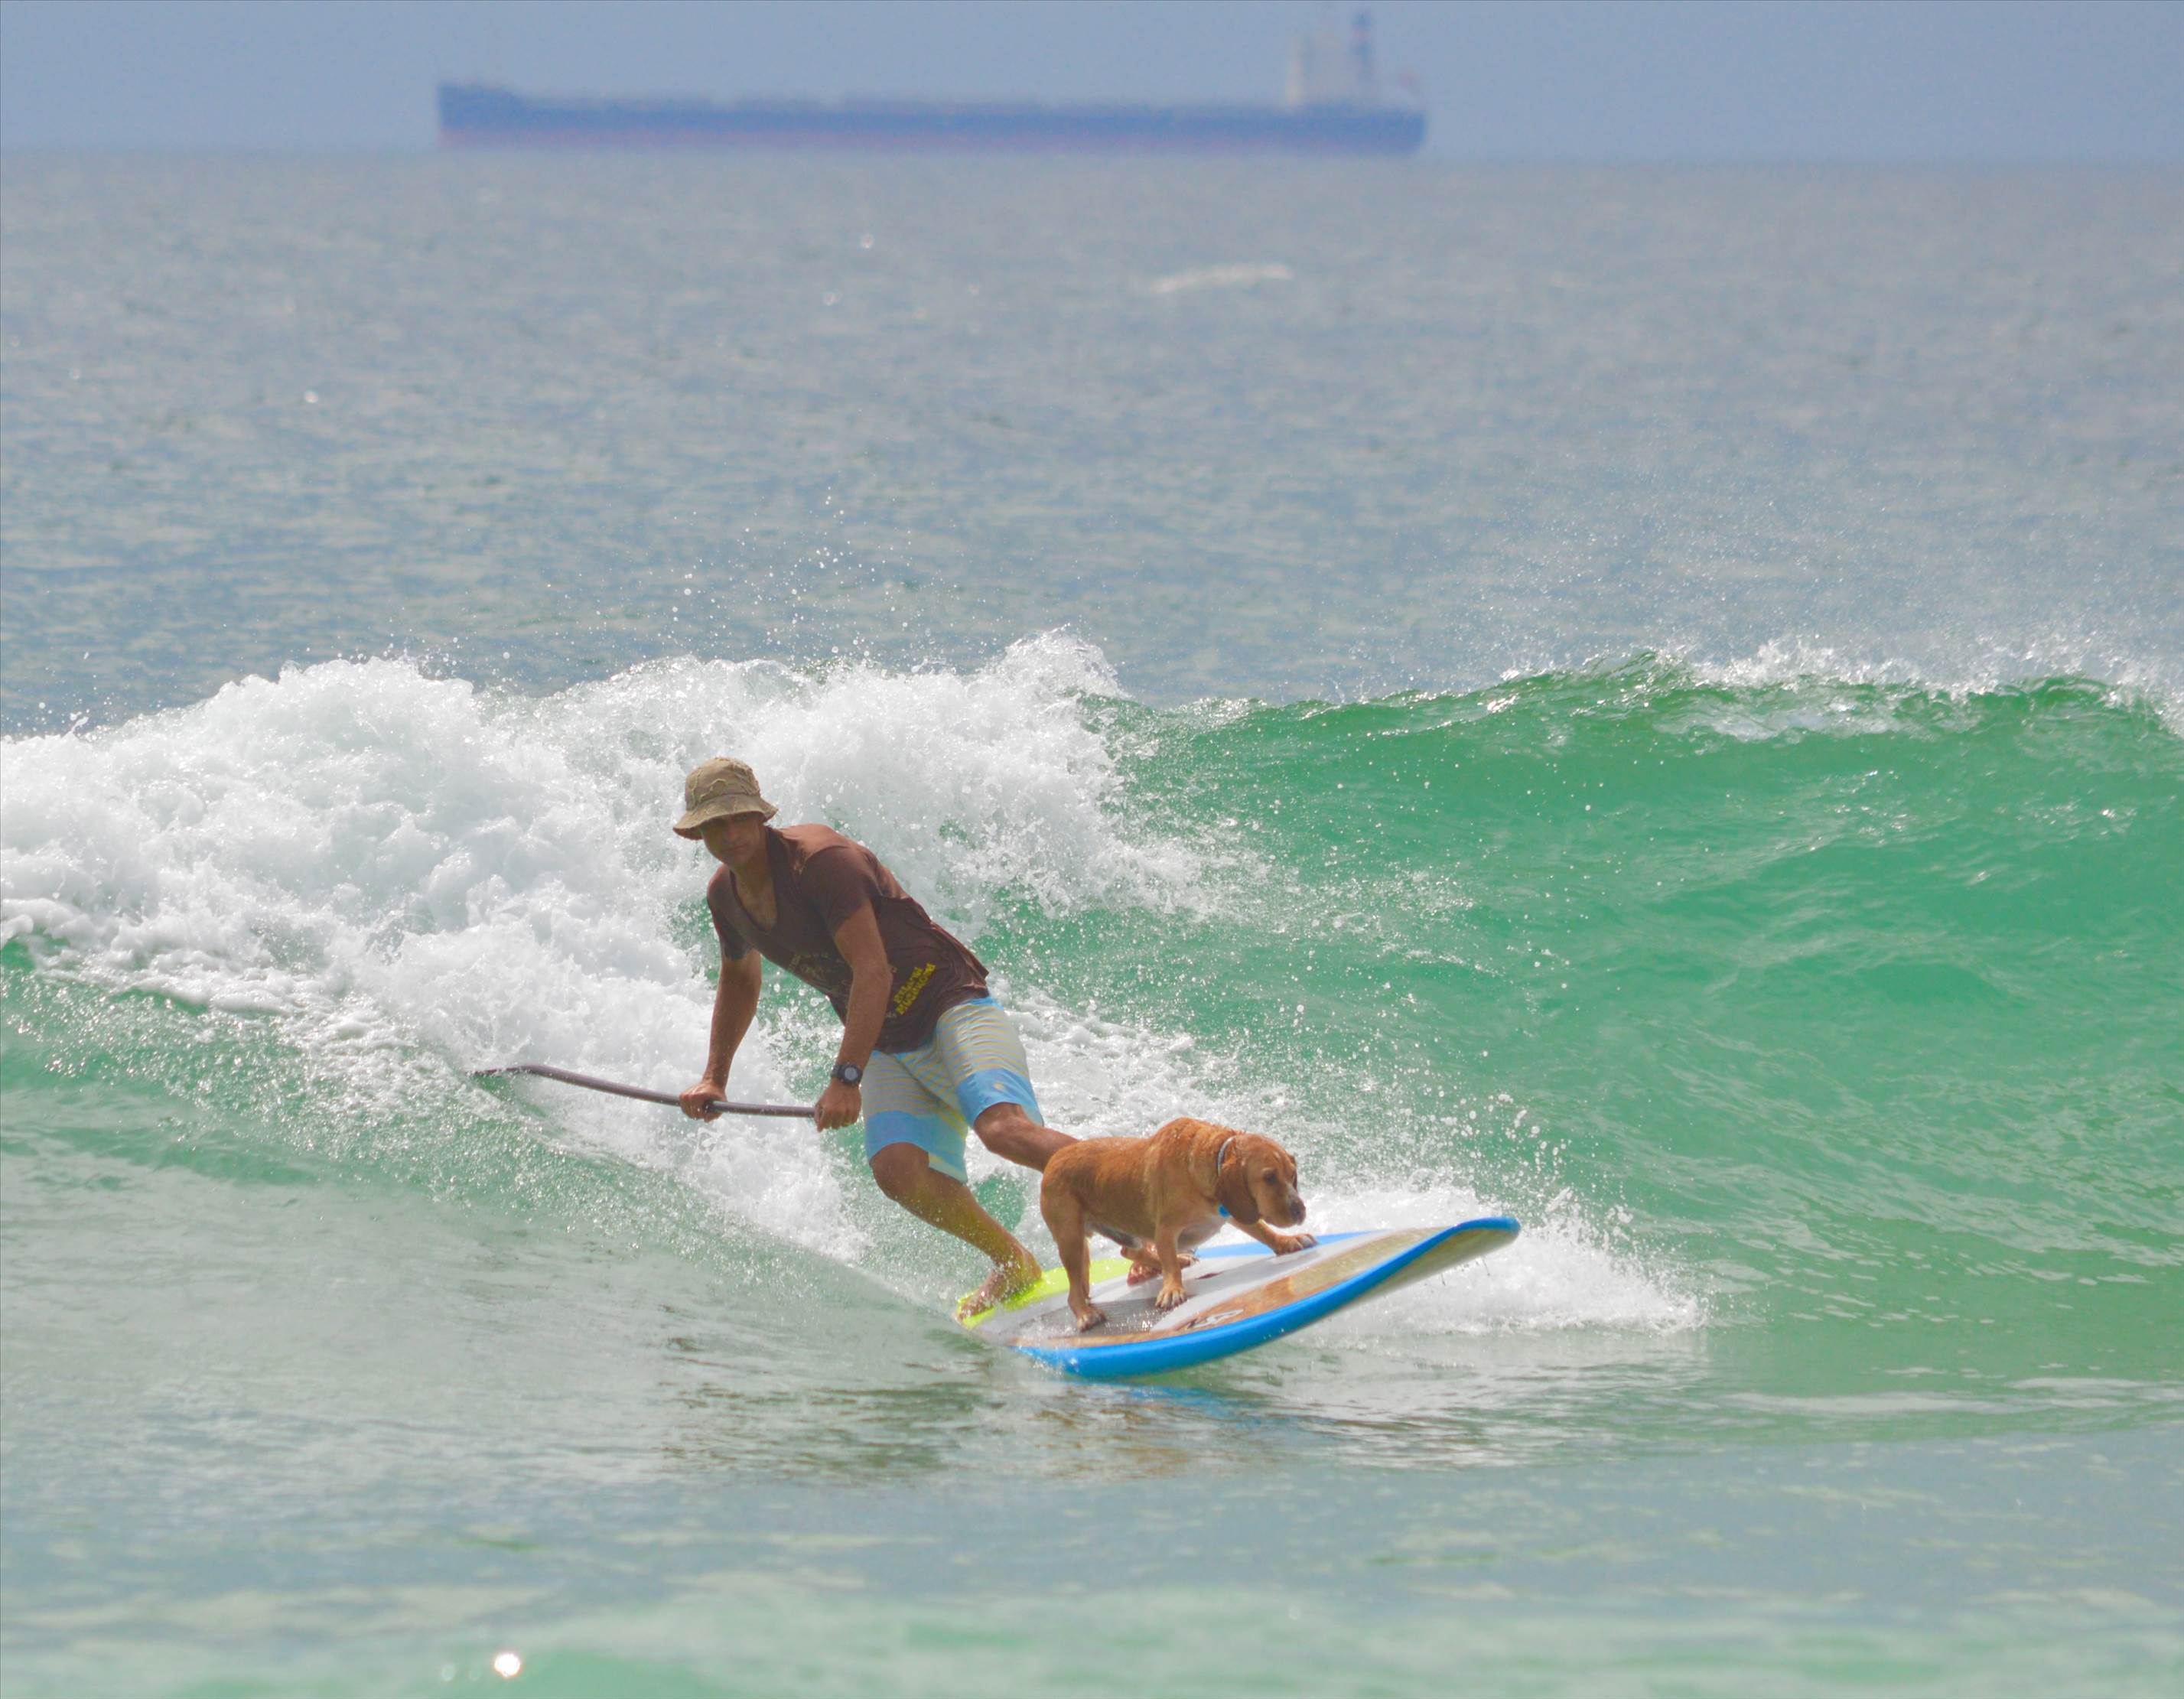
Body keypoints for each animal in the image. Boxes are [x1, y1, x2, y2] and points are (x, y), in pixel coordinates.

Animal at [1039, 1117, 1314, 1332]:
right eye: (1269, 1178)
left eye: (1292, 1175)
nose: (1300, 1210)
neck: (1208, 1160)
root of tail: (1054, 1159)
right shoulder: (1166, 1230)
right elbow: (1170, 1264)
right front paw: (1172, 1289)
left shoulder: (1234, 1211)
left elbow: (1262, 1231)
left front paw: (1286, 1242)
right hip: (1072, 1241)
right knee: (1074, 1294)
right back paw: (1086, 1314)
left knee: (1128, 1251)